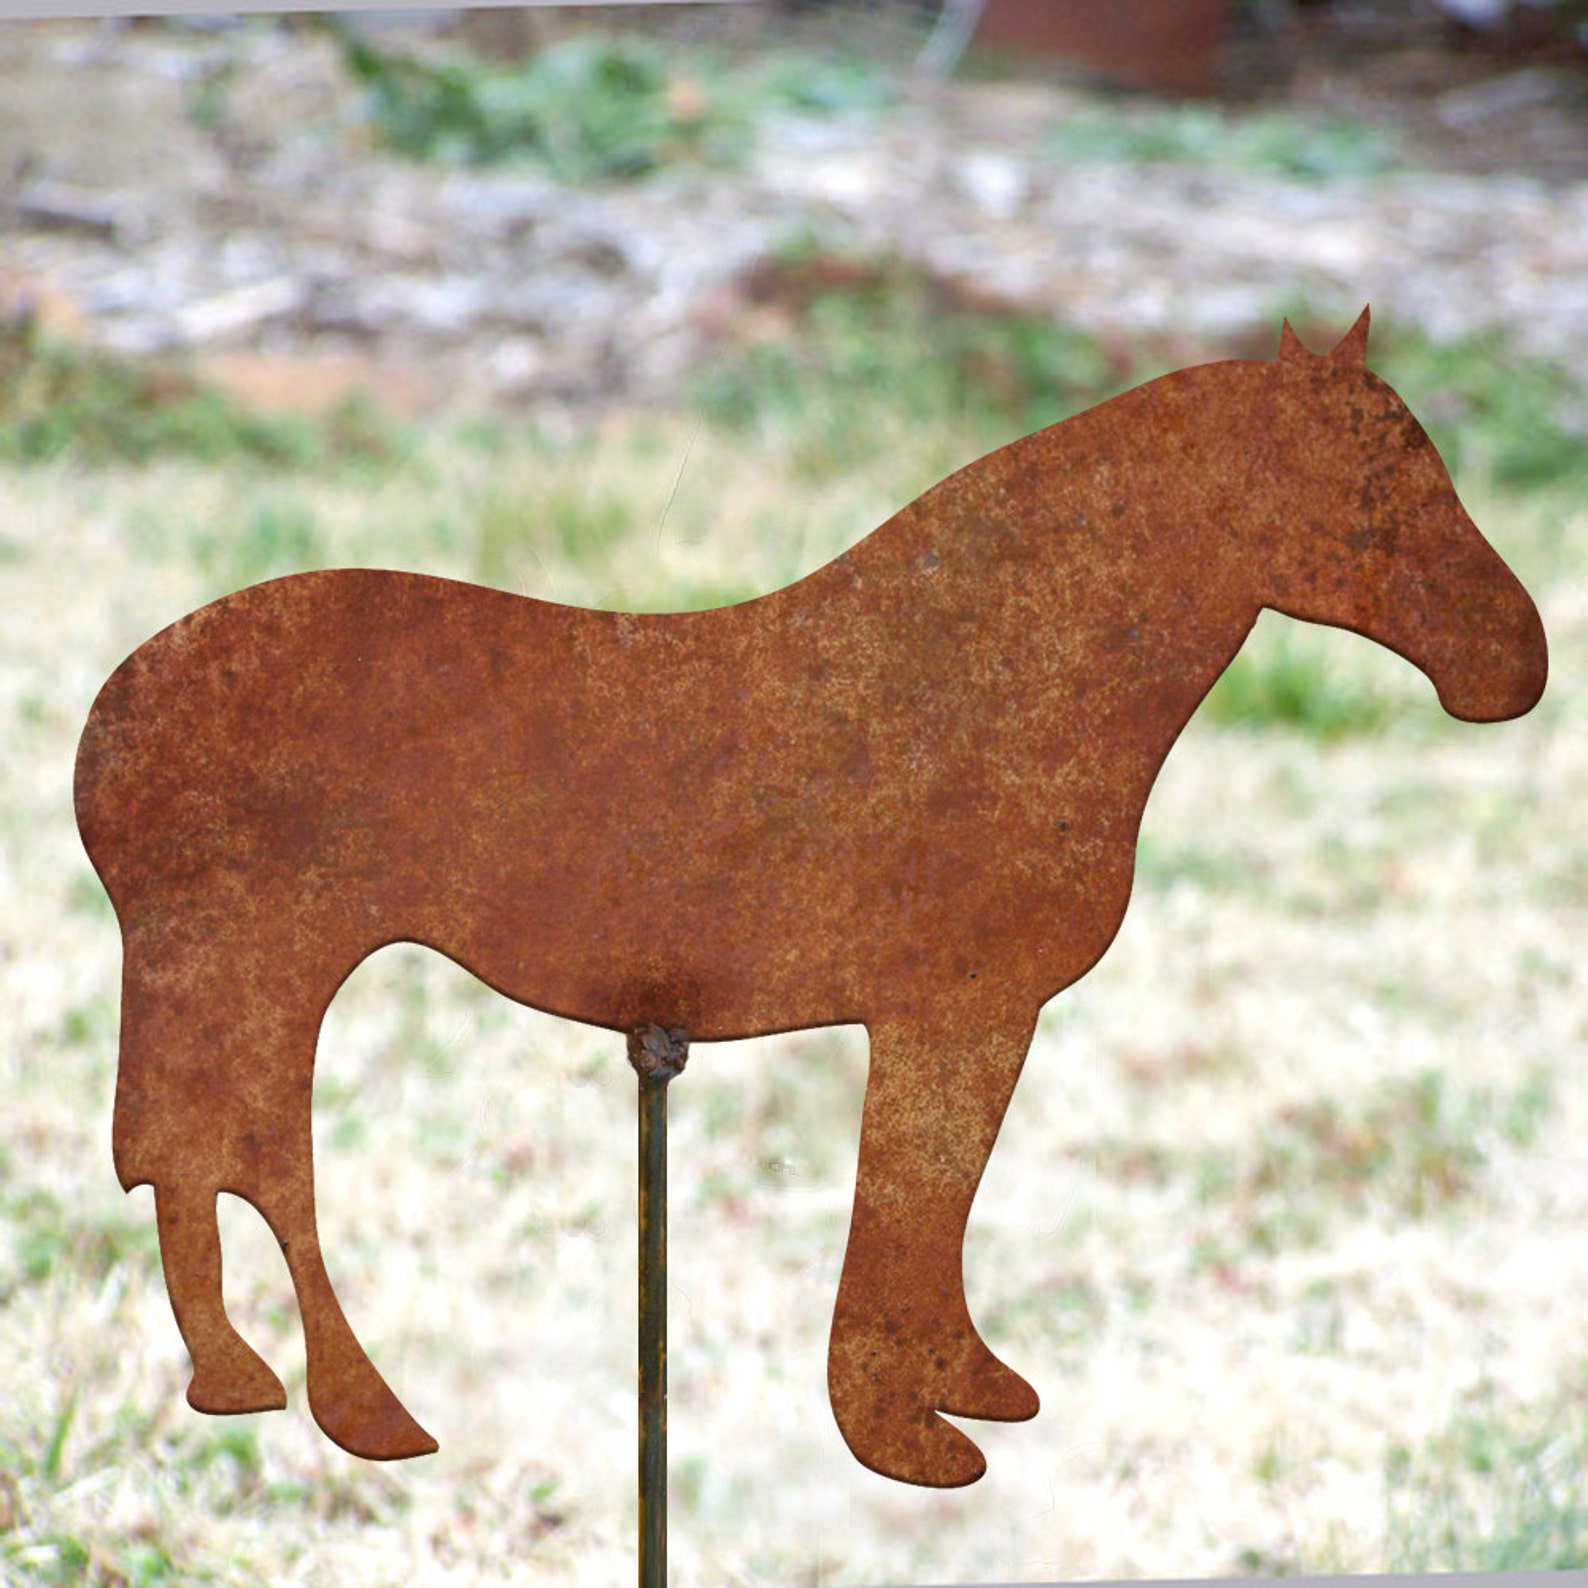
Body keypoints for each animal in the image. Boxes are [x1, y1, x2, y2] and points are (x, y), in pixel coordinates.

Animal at [73, 309, 1547, 1489]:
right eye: (1373, 485)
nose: (1515, 663)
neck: (981, 680)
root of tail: (118, 709)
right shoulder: (949, 1010)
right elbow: (911, 1195)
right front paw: (905, 1429)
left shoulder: (969, 1020)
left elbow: (936, 1201)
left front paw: (964, 1385)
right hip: (263, 968)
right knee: (252, 1165)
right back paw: (352, 1406)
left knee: (198, 1164)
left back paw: (251, 1378)